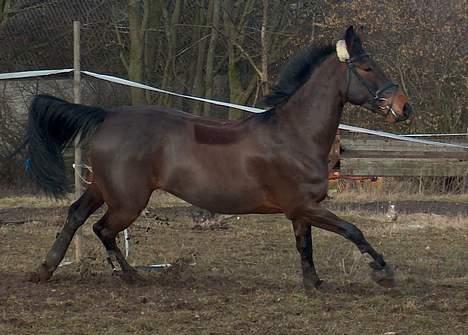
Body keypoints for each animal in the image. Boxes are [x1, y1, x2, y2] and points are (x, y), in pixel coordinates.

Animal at [27, 26, 412, 292]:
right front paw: (383, 272)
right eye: (366, 67)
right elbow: (353, 230)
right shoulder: (304, 206)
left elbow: (305, 247)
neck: (295, 134)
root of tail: (107, 115)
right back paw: (129, 275)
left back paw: (45, 269)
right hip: (127, 200)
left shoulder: (301, 210)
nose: (404, 108)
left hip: (103, 188)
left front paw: (313, 284)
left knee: (76, 216)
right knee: (103, 228)